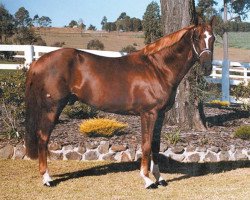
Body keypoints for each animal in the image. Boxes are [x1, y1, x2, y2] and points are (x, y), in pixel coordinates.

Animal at [25, 17, 217, 189]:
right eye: (197, 37)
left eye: (213, 38)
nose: (207, 67)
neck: (158, 68)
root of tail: (37, 62)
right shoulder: (148, 113)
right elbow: (146, 145)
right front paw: (147, 180)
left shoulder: (160, 114)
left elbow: (155, 146)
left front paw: (159, 178)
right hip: (52, 108)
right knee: (43, 138)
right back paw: (47, 179)